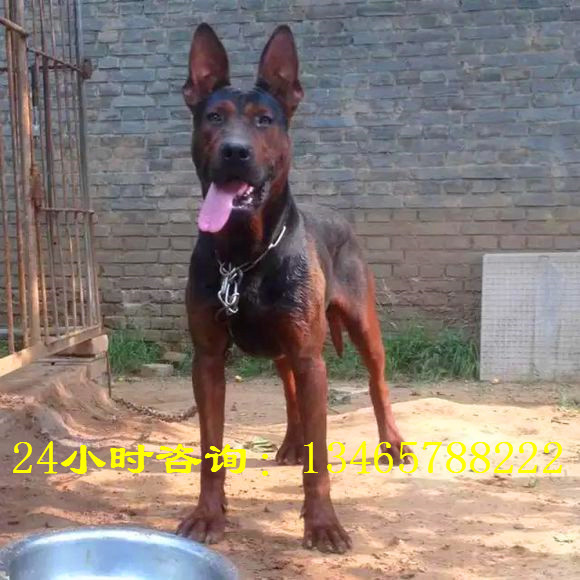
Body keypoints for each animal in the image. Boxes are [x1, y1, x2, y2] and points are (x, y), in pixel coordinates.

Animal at [177, 23, 411, 554]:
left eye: (265, 121)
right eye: (214, 117)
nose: (235, 151)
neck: (243, 258)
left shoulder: (311, 357)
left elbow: (321, 459)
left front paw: (322, 523)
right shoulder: (208, 358)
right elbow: (210, 449)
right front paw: (208, 514)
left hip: (361, 327)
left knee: (378, 381)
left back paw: (392, 444)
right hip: (284, 346)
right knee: (287, 391)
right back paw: (288, 443)